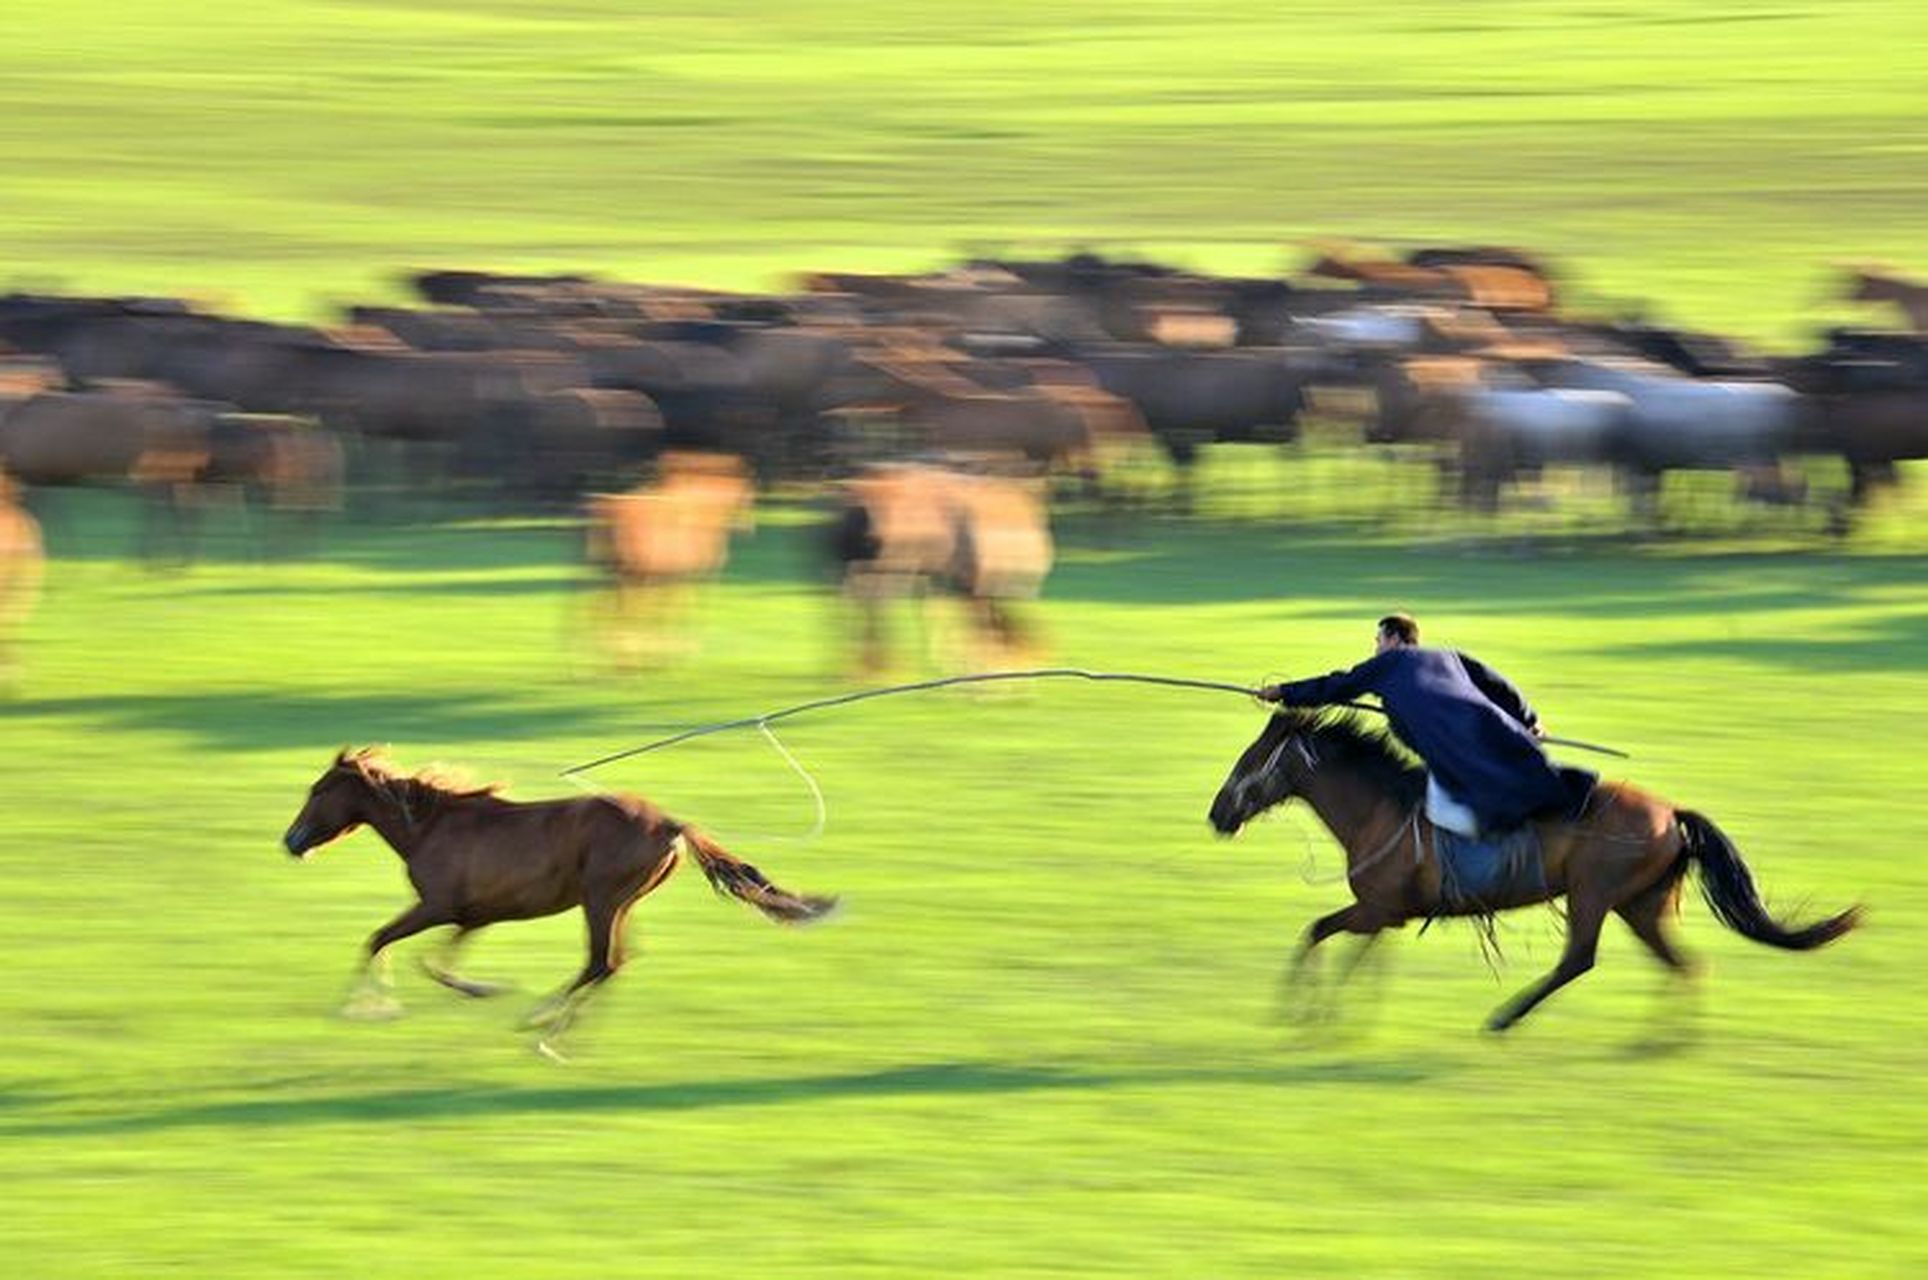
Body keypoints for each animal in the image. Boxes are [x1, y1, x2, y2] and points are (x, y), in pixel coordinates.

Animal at [281, 748, 837, 1057]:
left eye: (318, 790)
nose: (290, 840)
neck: (433, 827)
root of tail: (672, 825)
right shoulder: (473, 916)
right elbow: (435, 960)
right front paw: (480, 988)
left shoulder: (436, 906)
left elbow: (380, 941)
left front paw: (366, 1006)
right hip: (620, 903)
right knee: (616, 963)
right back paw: (554, 1027)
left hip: (601, 900)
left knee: (601, 962)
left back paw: (541, 1028)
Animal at [1208, 710, 1858, 1033]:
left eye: (1250, 759)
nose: (1218, 814)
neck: (1380, 808)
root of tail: (1672, 812)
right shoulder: (1385, 916)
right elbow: (1349, 953)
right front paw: (1333, 1016)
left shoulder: (1374, 910)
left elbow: (1317, 932)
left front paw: (1301, 1011)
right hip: (1641, 903)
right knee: (1684, 964)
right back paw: (1660, 1044)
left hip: (1595, 894)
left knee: (1580, 960)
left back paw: (1503, 1018)